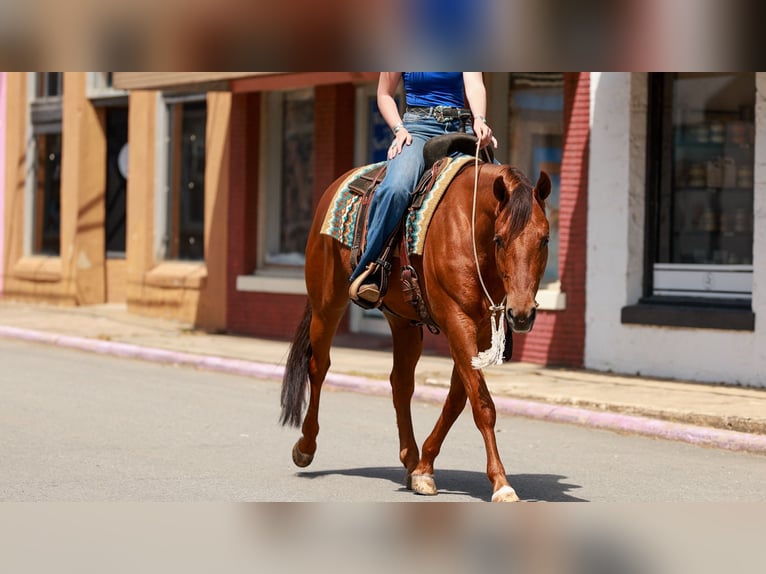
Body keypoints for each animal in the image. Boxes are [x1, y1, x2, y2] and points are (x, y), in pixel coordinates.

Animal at [280, 147, 551, 502]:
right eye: (500, 239)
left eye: (545, 240)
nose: (521, 314)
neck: (470, 230)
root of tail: (336, 185)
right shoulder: (457, 320)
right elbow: (482, 404)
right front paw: (501, 483)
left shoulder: (477, 330)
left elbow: (458, 400)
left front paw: (424, 468)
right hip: (328, 303)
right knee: (319, 366)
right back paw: (305, 446)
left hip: (403, 321)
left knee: (401, 382)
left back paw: (410, 460)